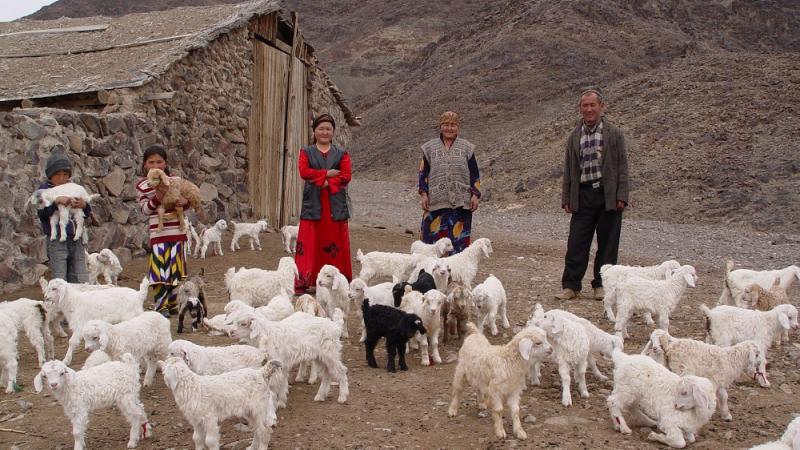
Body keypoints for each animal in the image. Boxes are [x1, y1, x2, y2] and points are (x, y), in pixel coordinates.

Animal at [636, 326, 768, 422]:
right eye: (757, 354)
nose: (760, 363)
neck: (730, 359)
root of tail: (670, 346)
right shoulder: (713, 381)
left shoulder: (719, 381)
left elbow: (724, 397)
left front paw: (726, 415)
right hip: (683, 370)